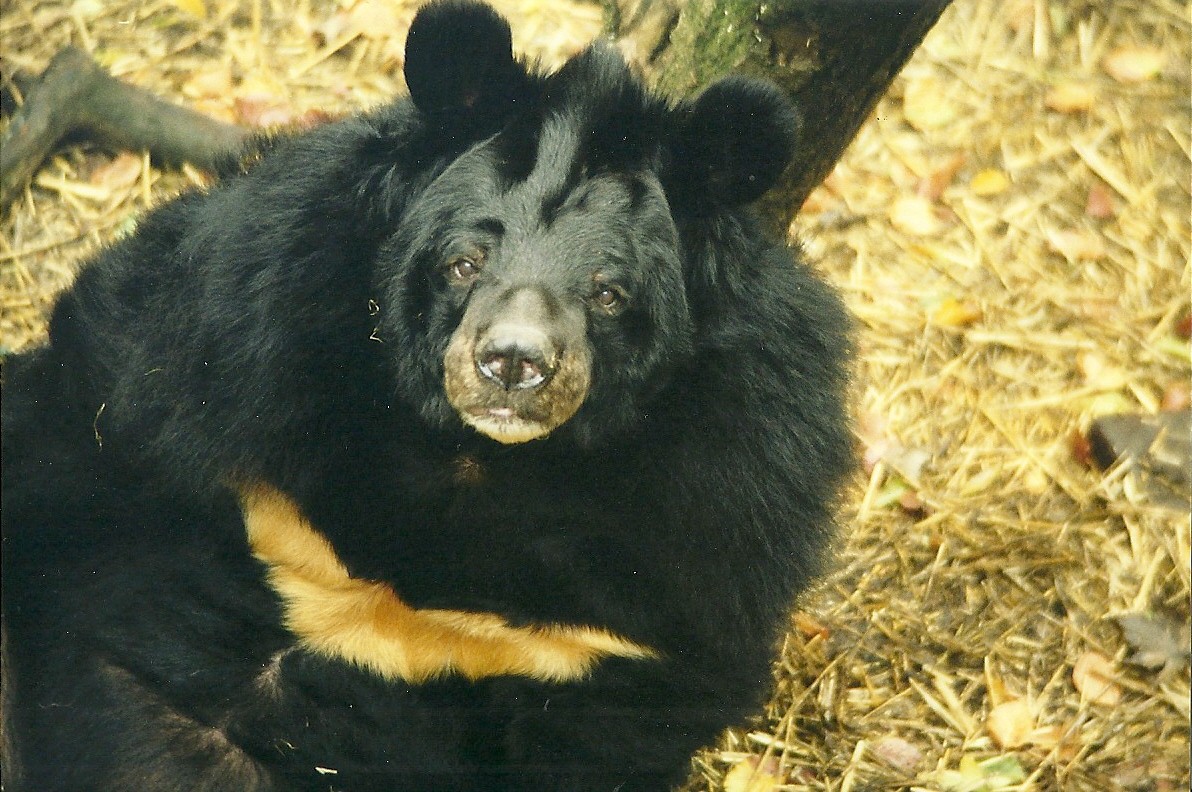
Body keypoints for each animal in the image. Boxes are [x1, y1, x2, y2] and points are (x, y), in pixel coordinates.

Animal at [0, 1, 853, 790]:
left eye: (609, 292)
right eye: (464, 262)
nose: (513, 362)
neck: (471, 462)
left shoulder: (694, 543)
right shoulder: (228, 342)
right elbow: (90, 419)